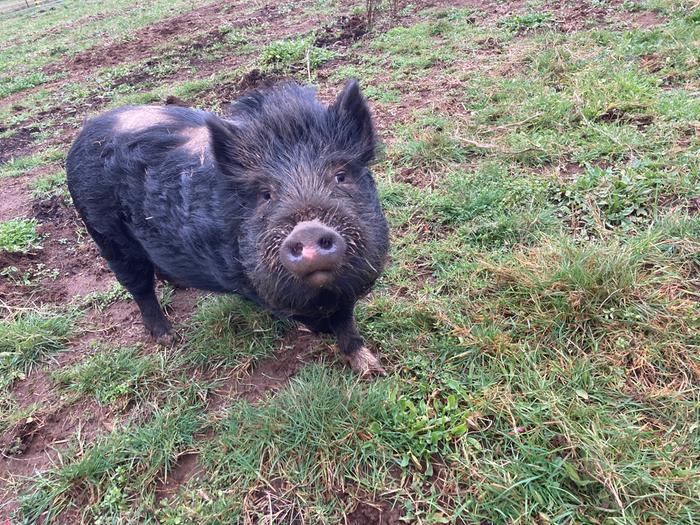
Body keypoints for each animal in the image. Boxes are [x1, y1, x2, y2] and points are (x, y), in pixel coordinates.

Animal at [66, 81, 392, 376]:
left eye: (341, 175)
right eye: (265, 194)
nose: (308, 230)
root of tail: (84, 134)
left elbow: (346, 320)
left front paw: (372, 369)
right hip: (108, 237)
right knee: (139, 287)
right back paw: (168, 338)